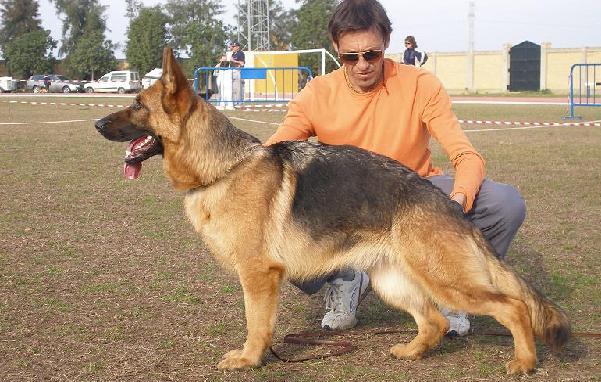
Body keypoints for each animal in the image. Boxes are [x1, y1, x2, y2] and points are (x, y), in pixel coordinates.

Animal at [94, 47, 568, 374]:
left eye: (137, 103)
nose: (97, 124)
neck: (223, 168)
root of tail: (450, 207)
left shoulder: (258, 276)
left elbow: (256, 324)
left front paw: (249, 359)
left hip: (448, 280)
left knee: (511, 307)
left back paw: (524, 362)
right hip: (394, 281)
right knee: (432, 321)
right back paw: (412, 351)